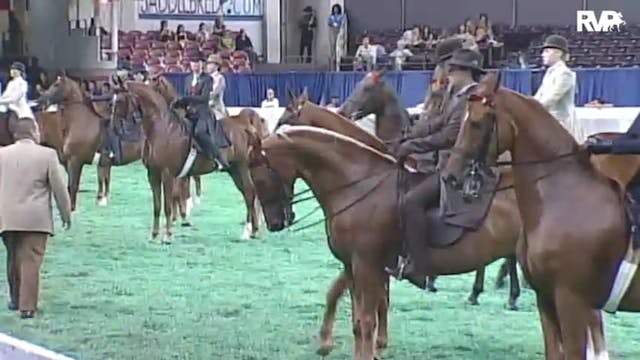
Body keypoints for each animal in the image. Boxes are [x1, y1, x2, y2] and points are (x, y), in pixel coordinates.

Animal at [112, 81, 268, 242]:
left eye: (119, 100)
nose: (114, 127)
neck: (164, 129)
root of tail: (244, 124)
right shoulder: (153, 175)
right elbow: (157, 206)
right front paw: (154, 235)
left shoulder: (168, 174)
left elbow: (168, 205)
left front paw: (168, 235)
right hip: (234, 170)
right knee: (248, 193)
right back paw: (253, 231)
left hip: (241, 167)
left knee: (249, 193)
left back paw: (247, 231)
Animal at [248, 125, 524, 358]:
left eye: (259, 178)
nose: (274, 224)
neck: (358, 186)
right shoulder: (353, 266)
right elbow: (357, 319)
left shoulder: (367, 265)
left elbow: (367, 320)